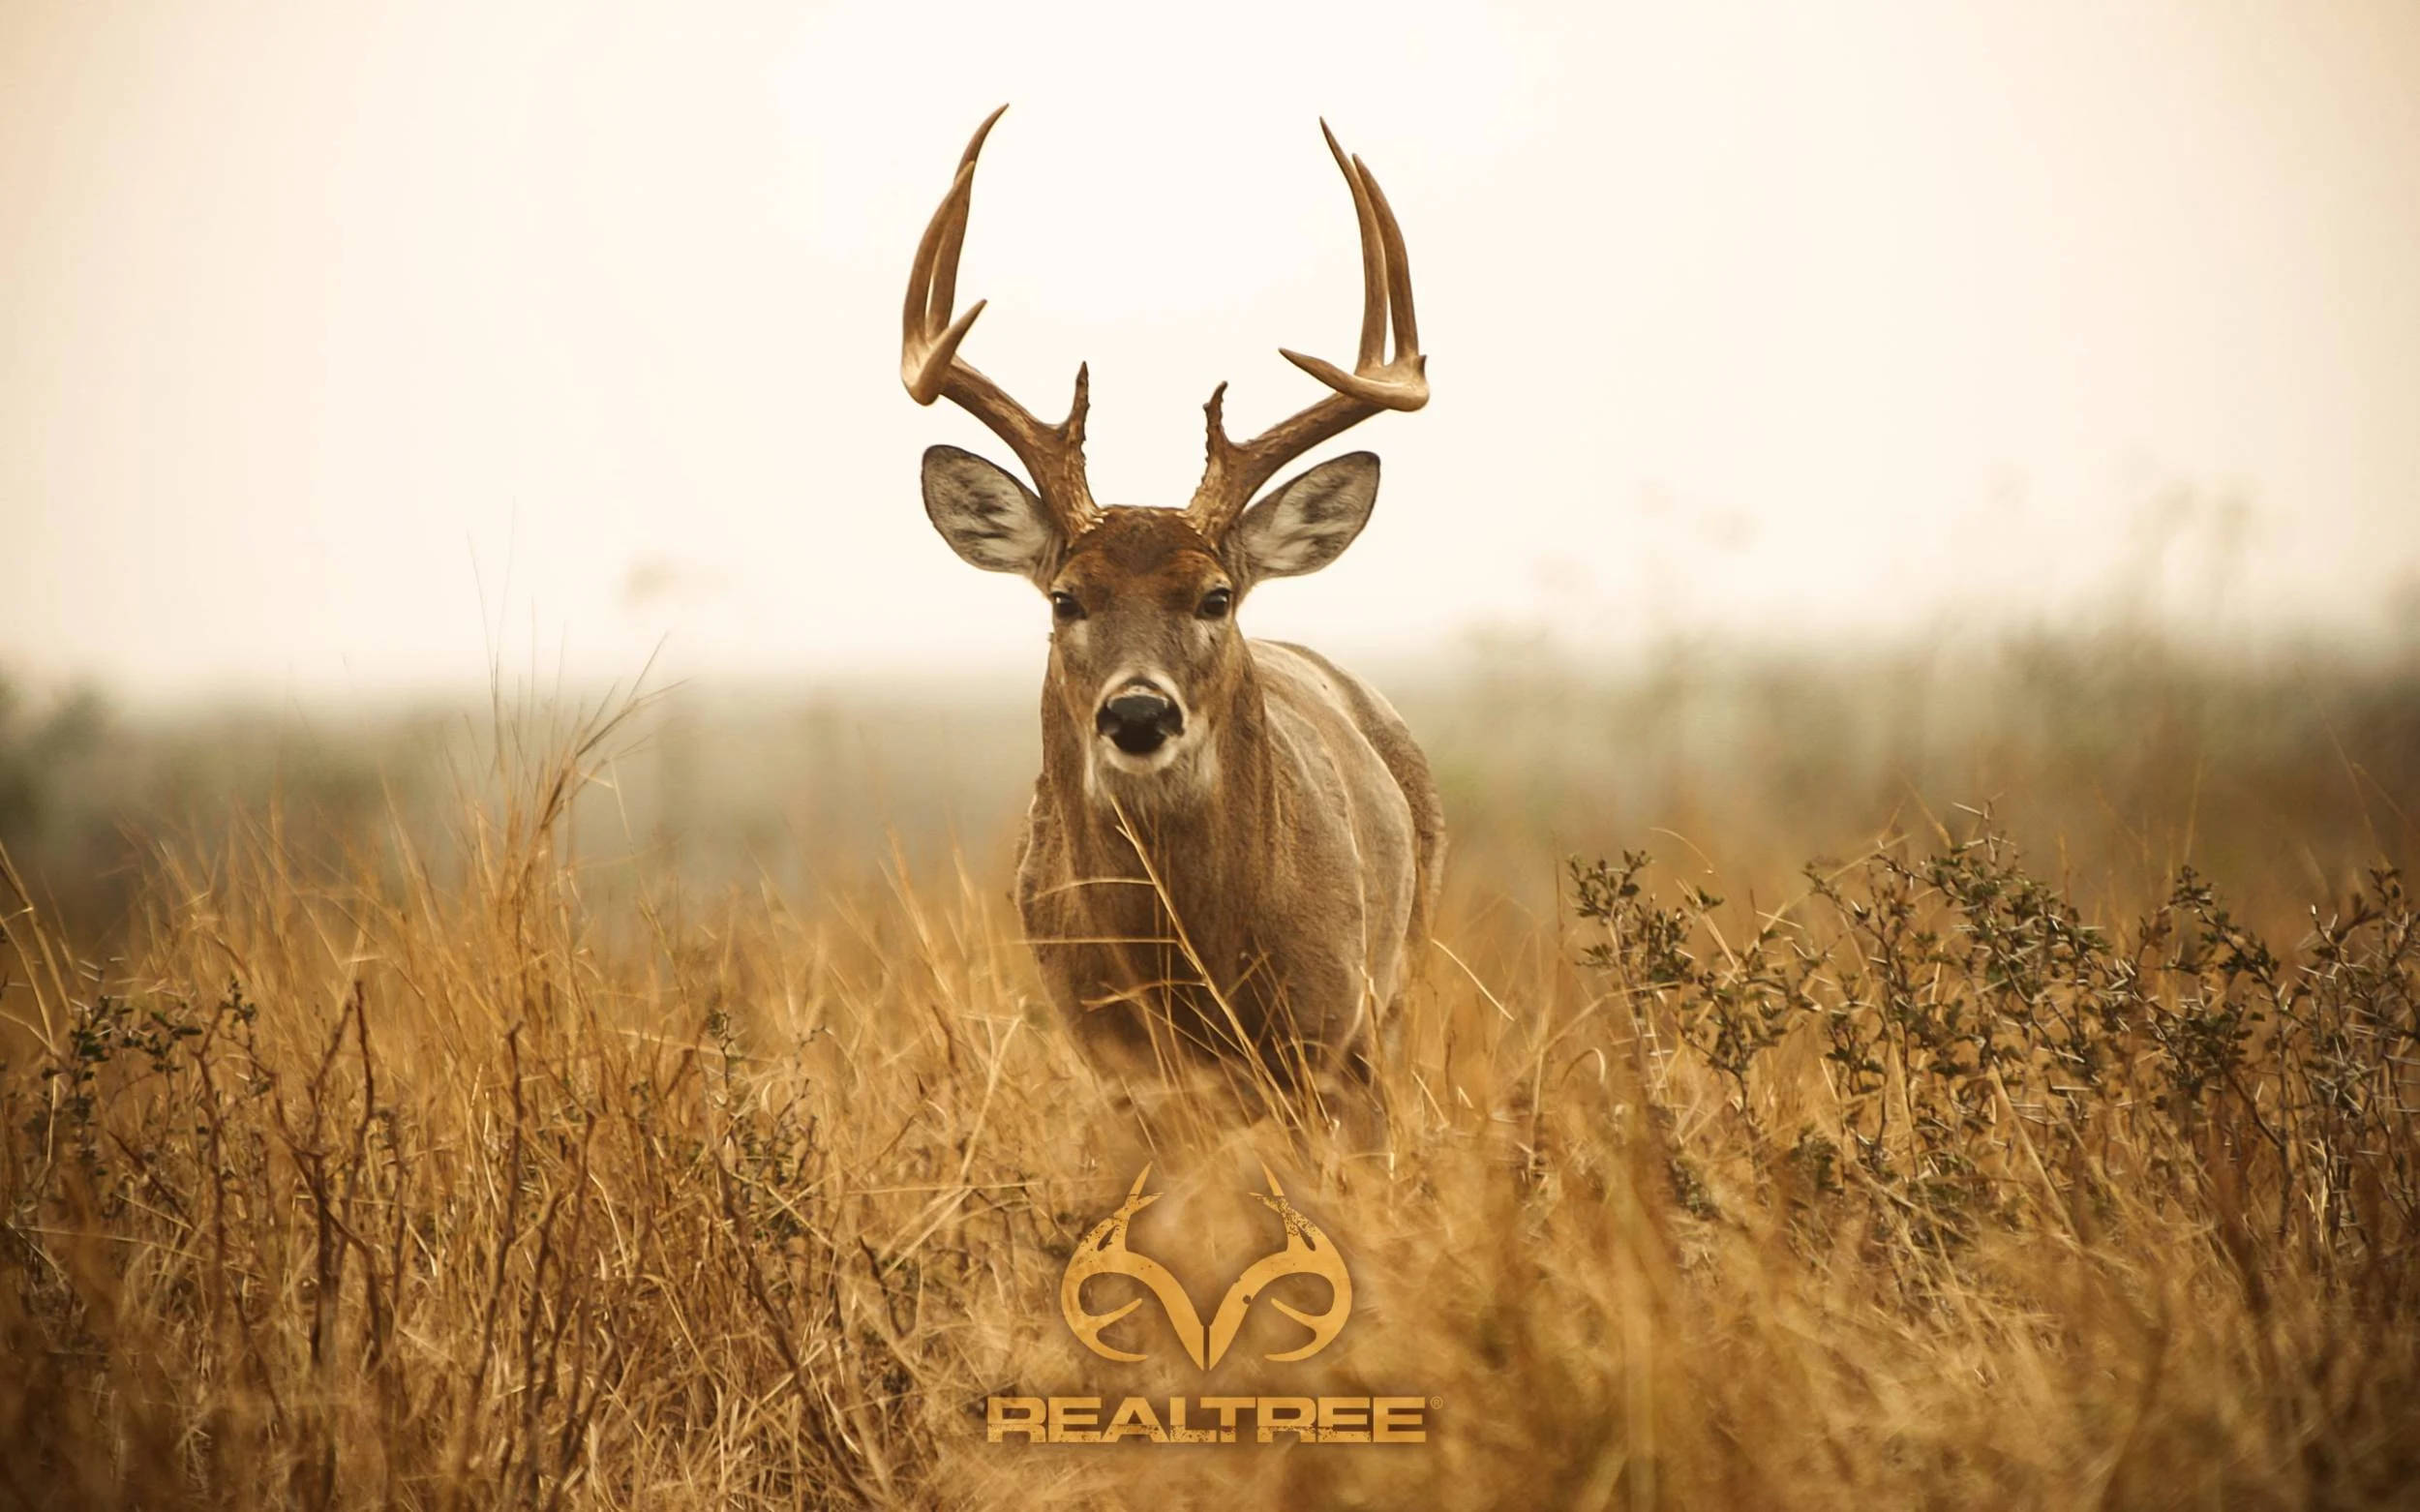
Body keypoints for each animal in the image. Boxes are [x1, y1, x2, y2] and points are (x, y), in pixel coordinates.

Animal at [901, 108, 1442, 1126]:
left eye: (1214, 597)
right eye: (1066, 598)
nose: (1139, 713)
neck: (1196, 972)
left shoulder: (1332, 1041)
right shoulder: (1118, 1070)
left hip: (1398, 982)